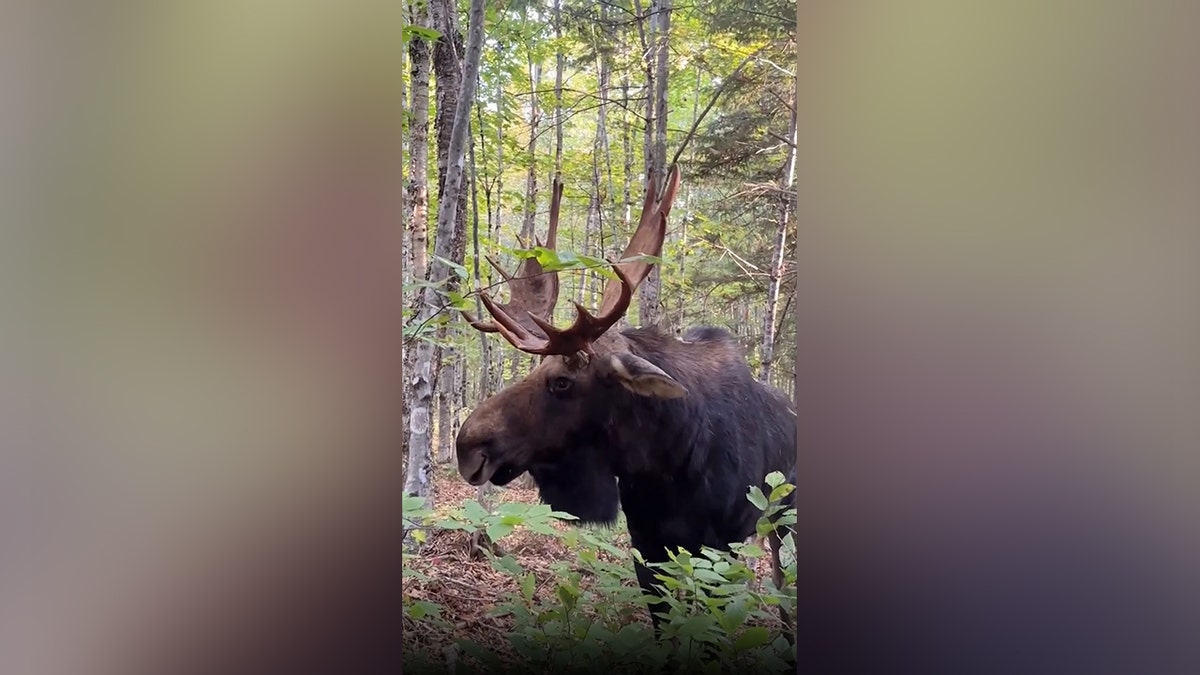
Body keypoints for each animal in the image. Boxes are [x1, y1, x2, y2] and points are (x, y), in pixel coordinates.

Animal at [451, 165, 796, 634]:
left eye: (562, 382)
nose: (466, 445)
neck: (670, 460)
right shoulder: (647, 545)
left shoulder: (722, 544)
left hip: (782, 521)